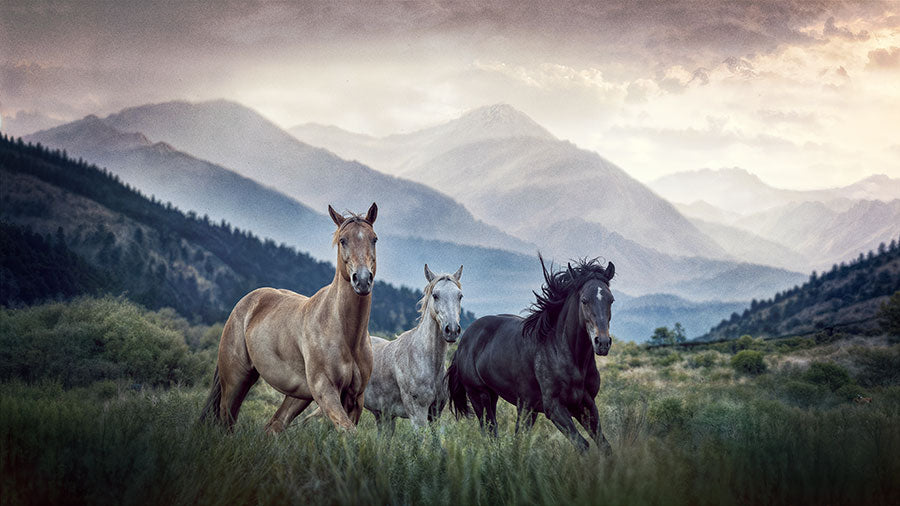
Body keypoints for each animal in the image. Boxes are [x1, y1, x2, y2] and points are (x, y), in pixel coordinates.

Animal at [199, 203, 378, 434]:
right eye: (343, 240)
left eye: (374, 239)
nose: (362, 280)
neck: (344, 333)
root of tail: (246, 303)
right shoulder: (326, 390)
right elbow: (348, 431)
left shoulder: (355, 398)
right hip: (236, 379)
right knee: (227, 420)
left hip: (296, 396)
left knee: (273, 425)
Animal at [365, 264, 464, 431]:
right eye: (435, 295)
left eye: (460, 296)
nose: (452, 330)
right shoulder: (418, 415)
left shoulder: (435, 414)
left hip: (383, 416)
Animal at [447, 254, 615, 453]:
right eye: (584, 300)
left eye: (611, 300)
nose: (602, 343)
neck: (567, 354)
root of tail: (463, 340)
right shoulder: (555, 408)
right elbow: (583, 445)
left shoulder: (586, 404)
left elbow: (604, 445)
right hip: (479, 396)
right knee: (490, 433)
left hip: (519, 405)